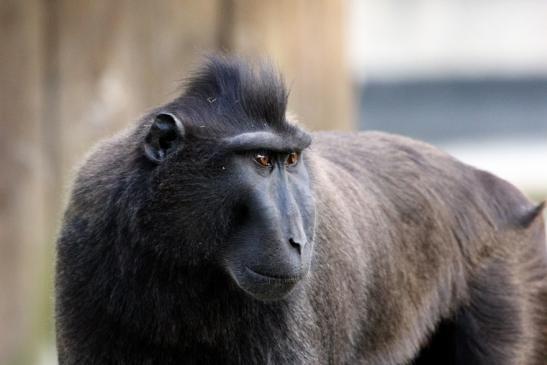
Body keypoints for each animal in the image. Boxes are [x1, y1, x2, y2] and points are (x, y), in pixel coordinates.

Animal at [55, 55, 547, 362]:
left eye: (290, 160)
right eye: (260, 160)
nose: (297, 240)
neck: (185, 263)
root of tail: (504, 197)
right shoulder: (88, 232)